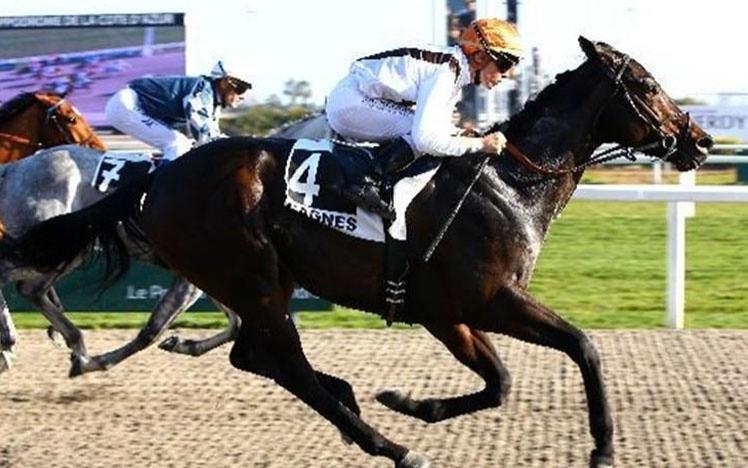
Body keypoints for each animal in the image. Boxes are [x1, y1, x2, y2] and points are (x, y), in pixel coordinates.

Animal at [7, 38, 712, 466]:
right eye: (646, 84)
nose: (700, 140)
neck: (510, 182)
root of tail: (159, 178)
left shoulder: (455, 314)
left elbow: (504, 381)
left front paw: (410, 402)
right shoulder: (478, 302)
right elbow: (576, 349)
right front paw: (603, 448)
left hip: (255, 283)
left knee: (253, 356)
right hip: (251, 278)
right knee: (285, 366)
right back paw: (387, 442)